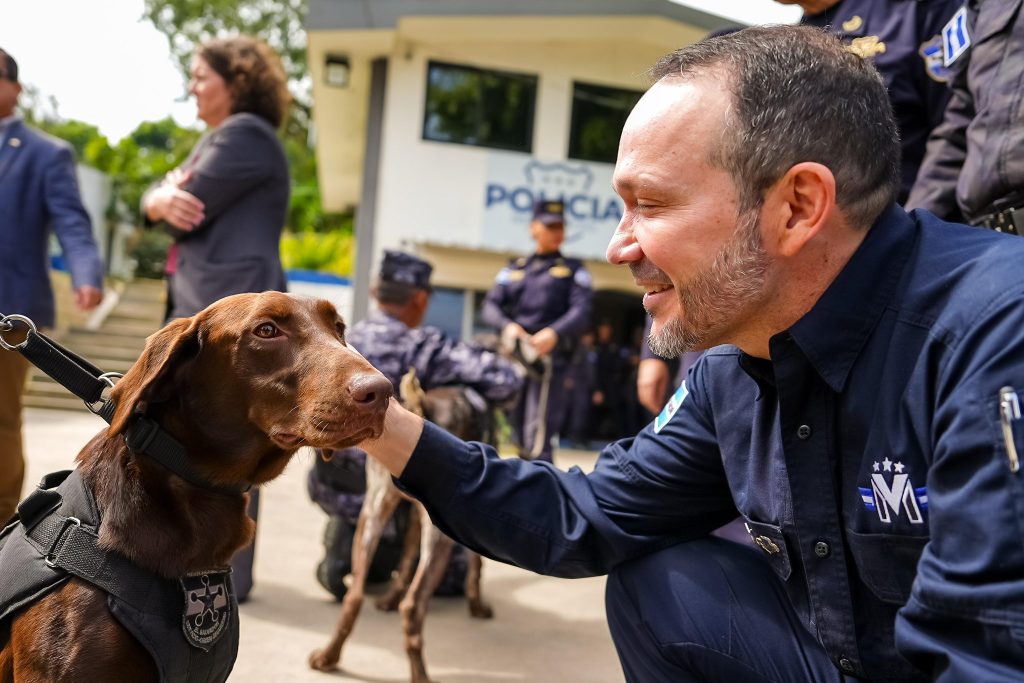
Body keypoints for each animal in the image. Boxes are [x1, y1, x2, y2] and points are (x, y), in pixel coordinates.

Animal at [307, 368, 491, 683]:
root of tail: (422, 405)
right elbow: (475, 564)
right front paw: (476, 605)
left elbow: (406, 558)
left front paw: (389, 599)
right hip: (439, 537)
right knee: (414, 607)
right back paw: (421, 676)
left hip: (372, 512)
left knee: (354, 597)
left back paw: (329, 657)